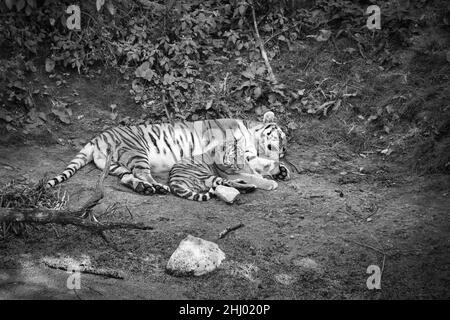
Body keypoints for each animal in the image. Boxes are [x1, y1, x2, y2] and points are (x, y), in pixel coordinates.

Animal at [47, 111, 290, 194]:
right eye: (280, 136)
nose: (284, 149)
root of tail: (98, 137)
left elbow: (256, 164)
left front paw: (280, 170)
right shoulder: (223, 151)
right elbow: (249, 171)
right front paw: (270, 180)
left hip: (116, 165)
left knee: (127, 178)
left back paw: (146, 188)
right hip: (137, 150)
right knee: (142, 173)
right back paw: (158, 186)